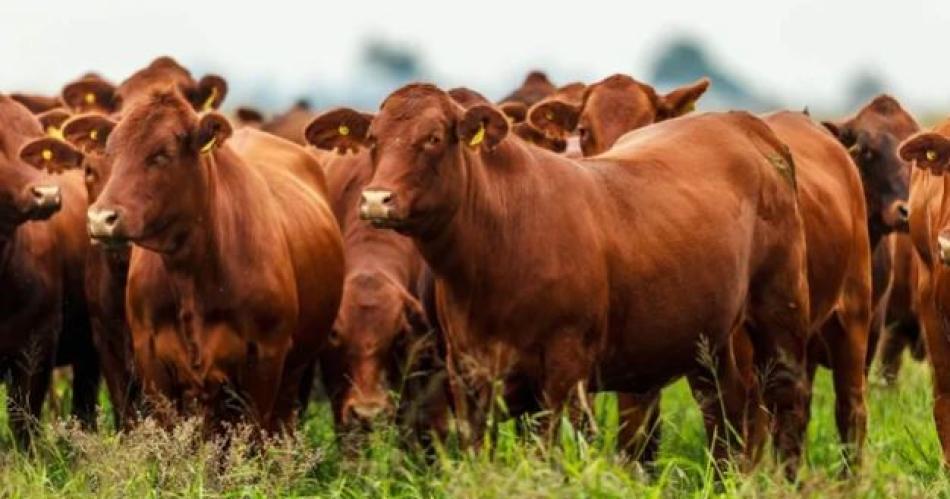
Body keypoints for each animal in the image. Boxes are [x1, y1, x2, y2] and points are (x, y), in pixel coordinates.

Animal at [314, 85, 820, 476]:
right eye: (374, 139)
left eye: (433, 138)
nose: (377, 199)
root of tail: (743, 124)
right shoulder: (468, 371)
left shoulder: (563, 369)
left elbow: (546, 454)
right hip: (711, 340)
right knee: (725, 412)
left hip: (780, 311)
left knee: (787, 403)